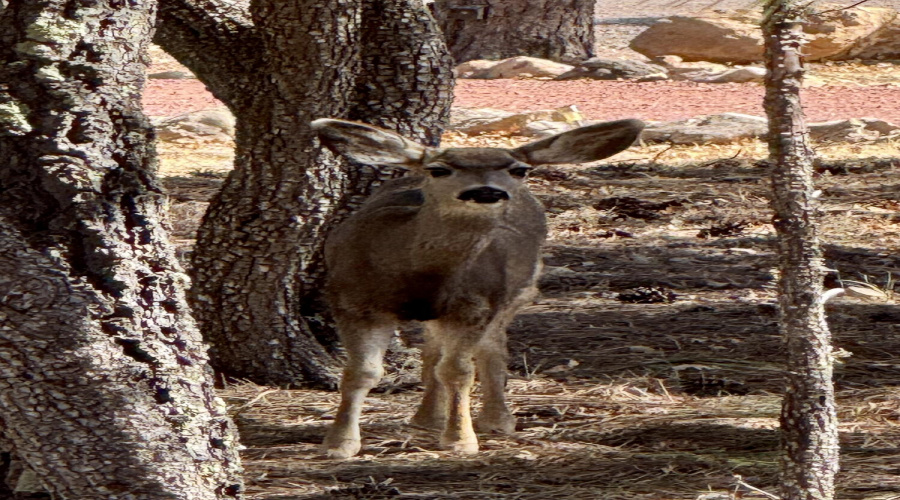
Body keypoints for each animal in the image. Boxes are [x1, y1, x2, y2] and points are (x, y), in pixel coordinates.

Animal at [312, 116, 644, 458]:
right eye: (439, 169)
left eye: (518, 170)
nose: (486, 191)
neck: (418, 275)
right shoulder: (351, 299)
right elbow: (361, 373)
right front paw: (339, 443)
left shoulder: (475, 305)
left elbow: (458, 371)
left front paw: (460, 439)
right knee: (434, 351)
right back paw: (428, 418)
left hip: (517, 291)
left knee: (491, 349)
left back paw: (497, 420)